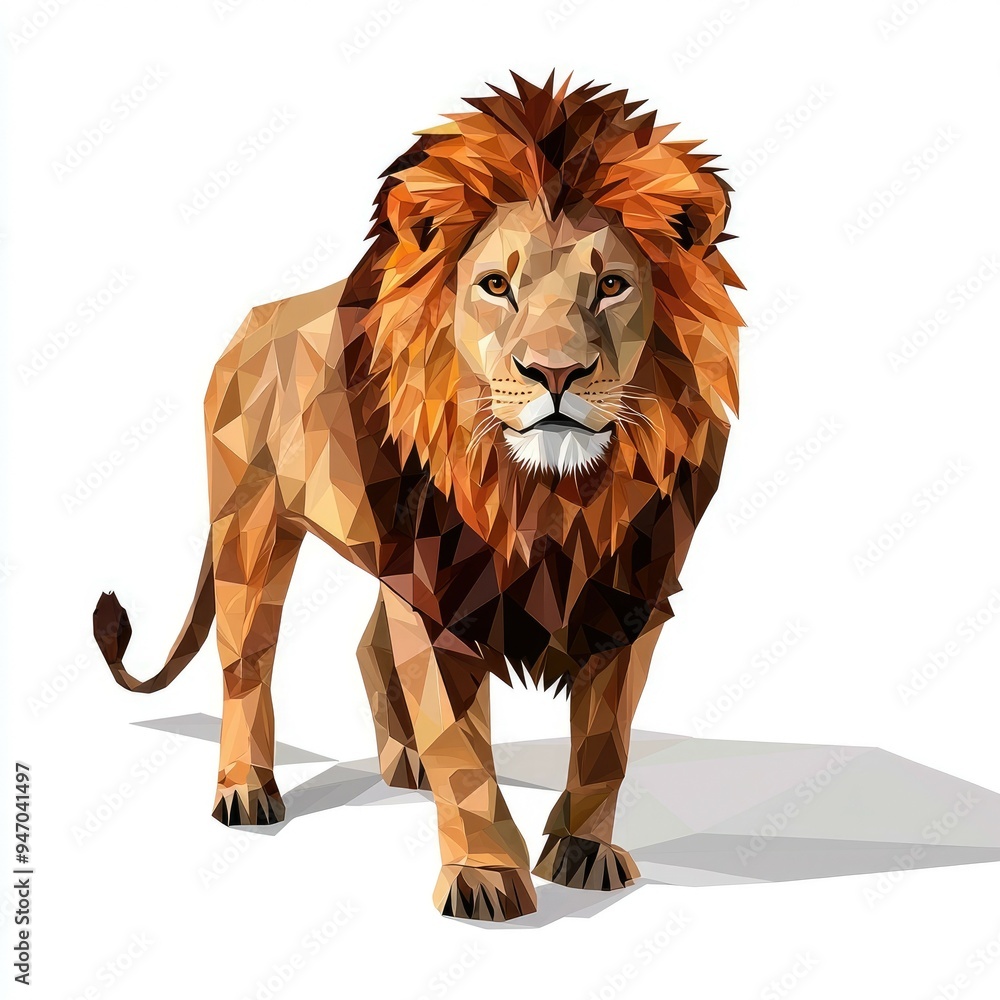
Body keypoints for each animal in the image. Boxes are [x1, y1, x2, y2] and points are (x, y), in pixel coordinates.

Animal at [93, 72, 742, 922]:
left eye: (611, 285)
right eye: (496, 285)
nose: (555, 374)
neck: (546, 495)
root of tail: (253, 321)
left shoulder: (627, 596)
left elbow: (608, 744)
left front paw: (583, 851)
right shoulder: (437, 597)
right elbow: (462, 750)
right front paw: (483, 875)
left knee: (368, 644)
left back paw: (403, 765)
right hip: (253, 527)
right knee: (246, 663)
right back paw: (247, 790)